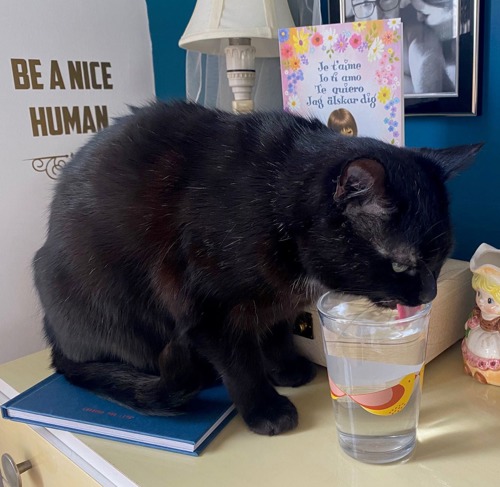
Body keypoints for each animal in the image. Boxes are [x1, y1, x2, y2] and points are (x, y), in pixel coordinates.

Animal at [34, 101, 480, 436]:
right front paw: (265, 408)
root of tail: (54, 339)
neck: (274, 198)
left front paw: (286, 368)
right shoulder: (206, 310)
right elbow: (240, 363)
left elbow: (276, 331)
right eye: (402, 263)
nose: (429, 294)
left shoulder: (276, 298)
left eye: (442, 255)